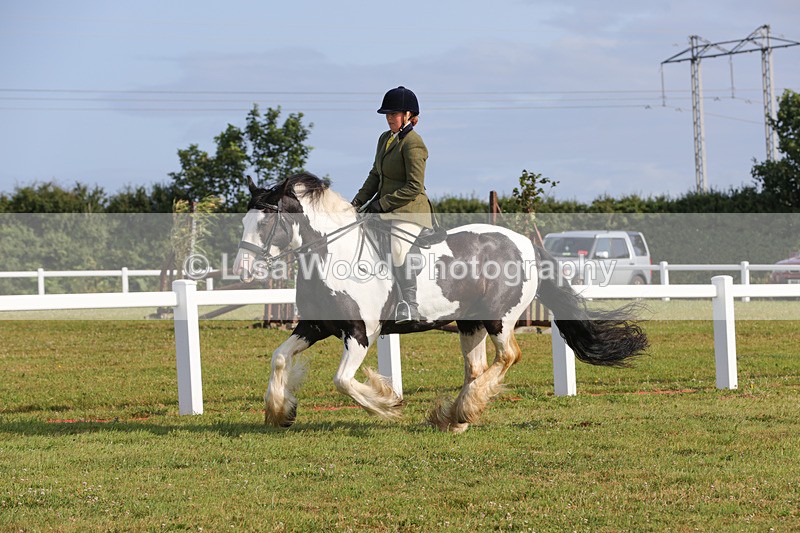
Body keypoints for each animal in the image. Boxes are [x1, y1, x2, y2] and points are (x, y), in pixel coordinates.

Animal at [232, 172, 648, 433]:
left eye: (265, 223)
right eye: (243, 222)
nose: (242, 269)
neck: (334, 255)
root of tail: (527, 243)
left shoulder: (360, 334)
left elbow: (343, 381)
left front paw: (387, 402)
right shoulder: (314, 326)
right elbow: (280, 357)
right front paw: (281, 411)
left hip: (499, 318)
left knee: (508, 356)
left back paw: (464, 409)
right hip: (470, 323)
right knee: (478, 368)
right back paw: (457, 415)